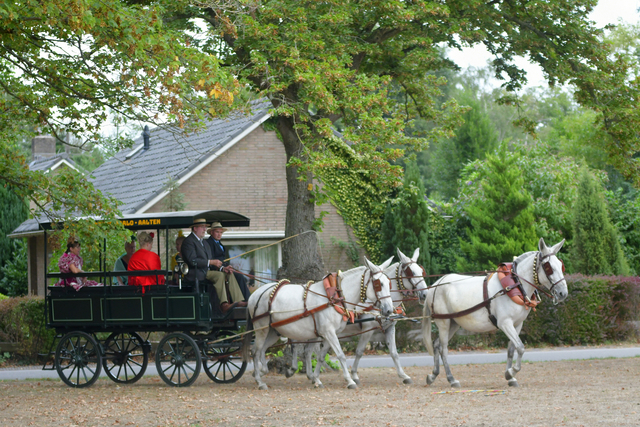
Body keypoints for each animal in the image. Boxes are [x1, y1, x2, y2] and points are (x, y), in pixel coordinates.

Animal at [246, 258, 392, 392]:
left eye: (389, 282)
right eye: (379, 284)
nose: (389, 310)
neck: (334, 297)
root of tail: (254, 294)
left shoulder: (330, 333)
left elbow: (321, 357)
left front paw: (316, 379)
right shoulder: (329, 332)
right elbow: (341, 355)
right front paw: (350, 381)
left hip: (273, 331)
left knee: (262, 350)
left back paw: (262, 371)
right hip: (261, 329)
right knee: (255, 351)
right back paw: (260, 381)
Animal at [292, 247, 428, 384]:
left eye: (421, 271)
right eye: (411, 272)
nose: (425, 294)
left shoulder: (390, 328)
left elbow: (394, 353)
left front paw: (404, 375)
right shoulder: (368, 329)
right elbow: (359, 351)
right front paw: (354, 375)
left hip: (315, 331)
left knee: (308, 351)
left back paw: (311, 376)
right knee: (296, 344)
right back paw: (294, 368)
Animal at [422, 239, 568, 390]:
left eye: (560, 265)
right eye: (548, 267)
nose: (563, 293)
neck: (515, 285)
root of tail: (435, 285)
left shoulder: (517, 324)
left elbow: (512, 349)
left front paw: (510, 377)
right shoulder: (505, 323)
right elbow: (521, 347)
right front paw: (511, 372)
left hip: (453, 323)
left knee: (436, 344)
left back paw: (433, 375)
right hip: (443, 323)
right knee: (443, 349)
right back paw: (451, 379)